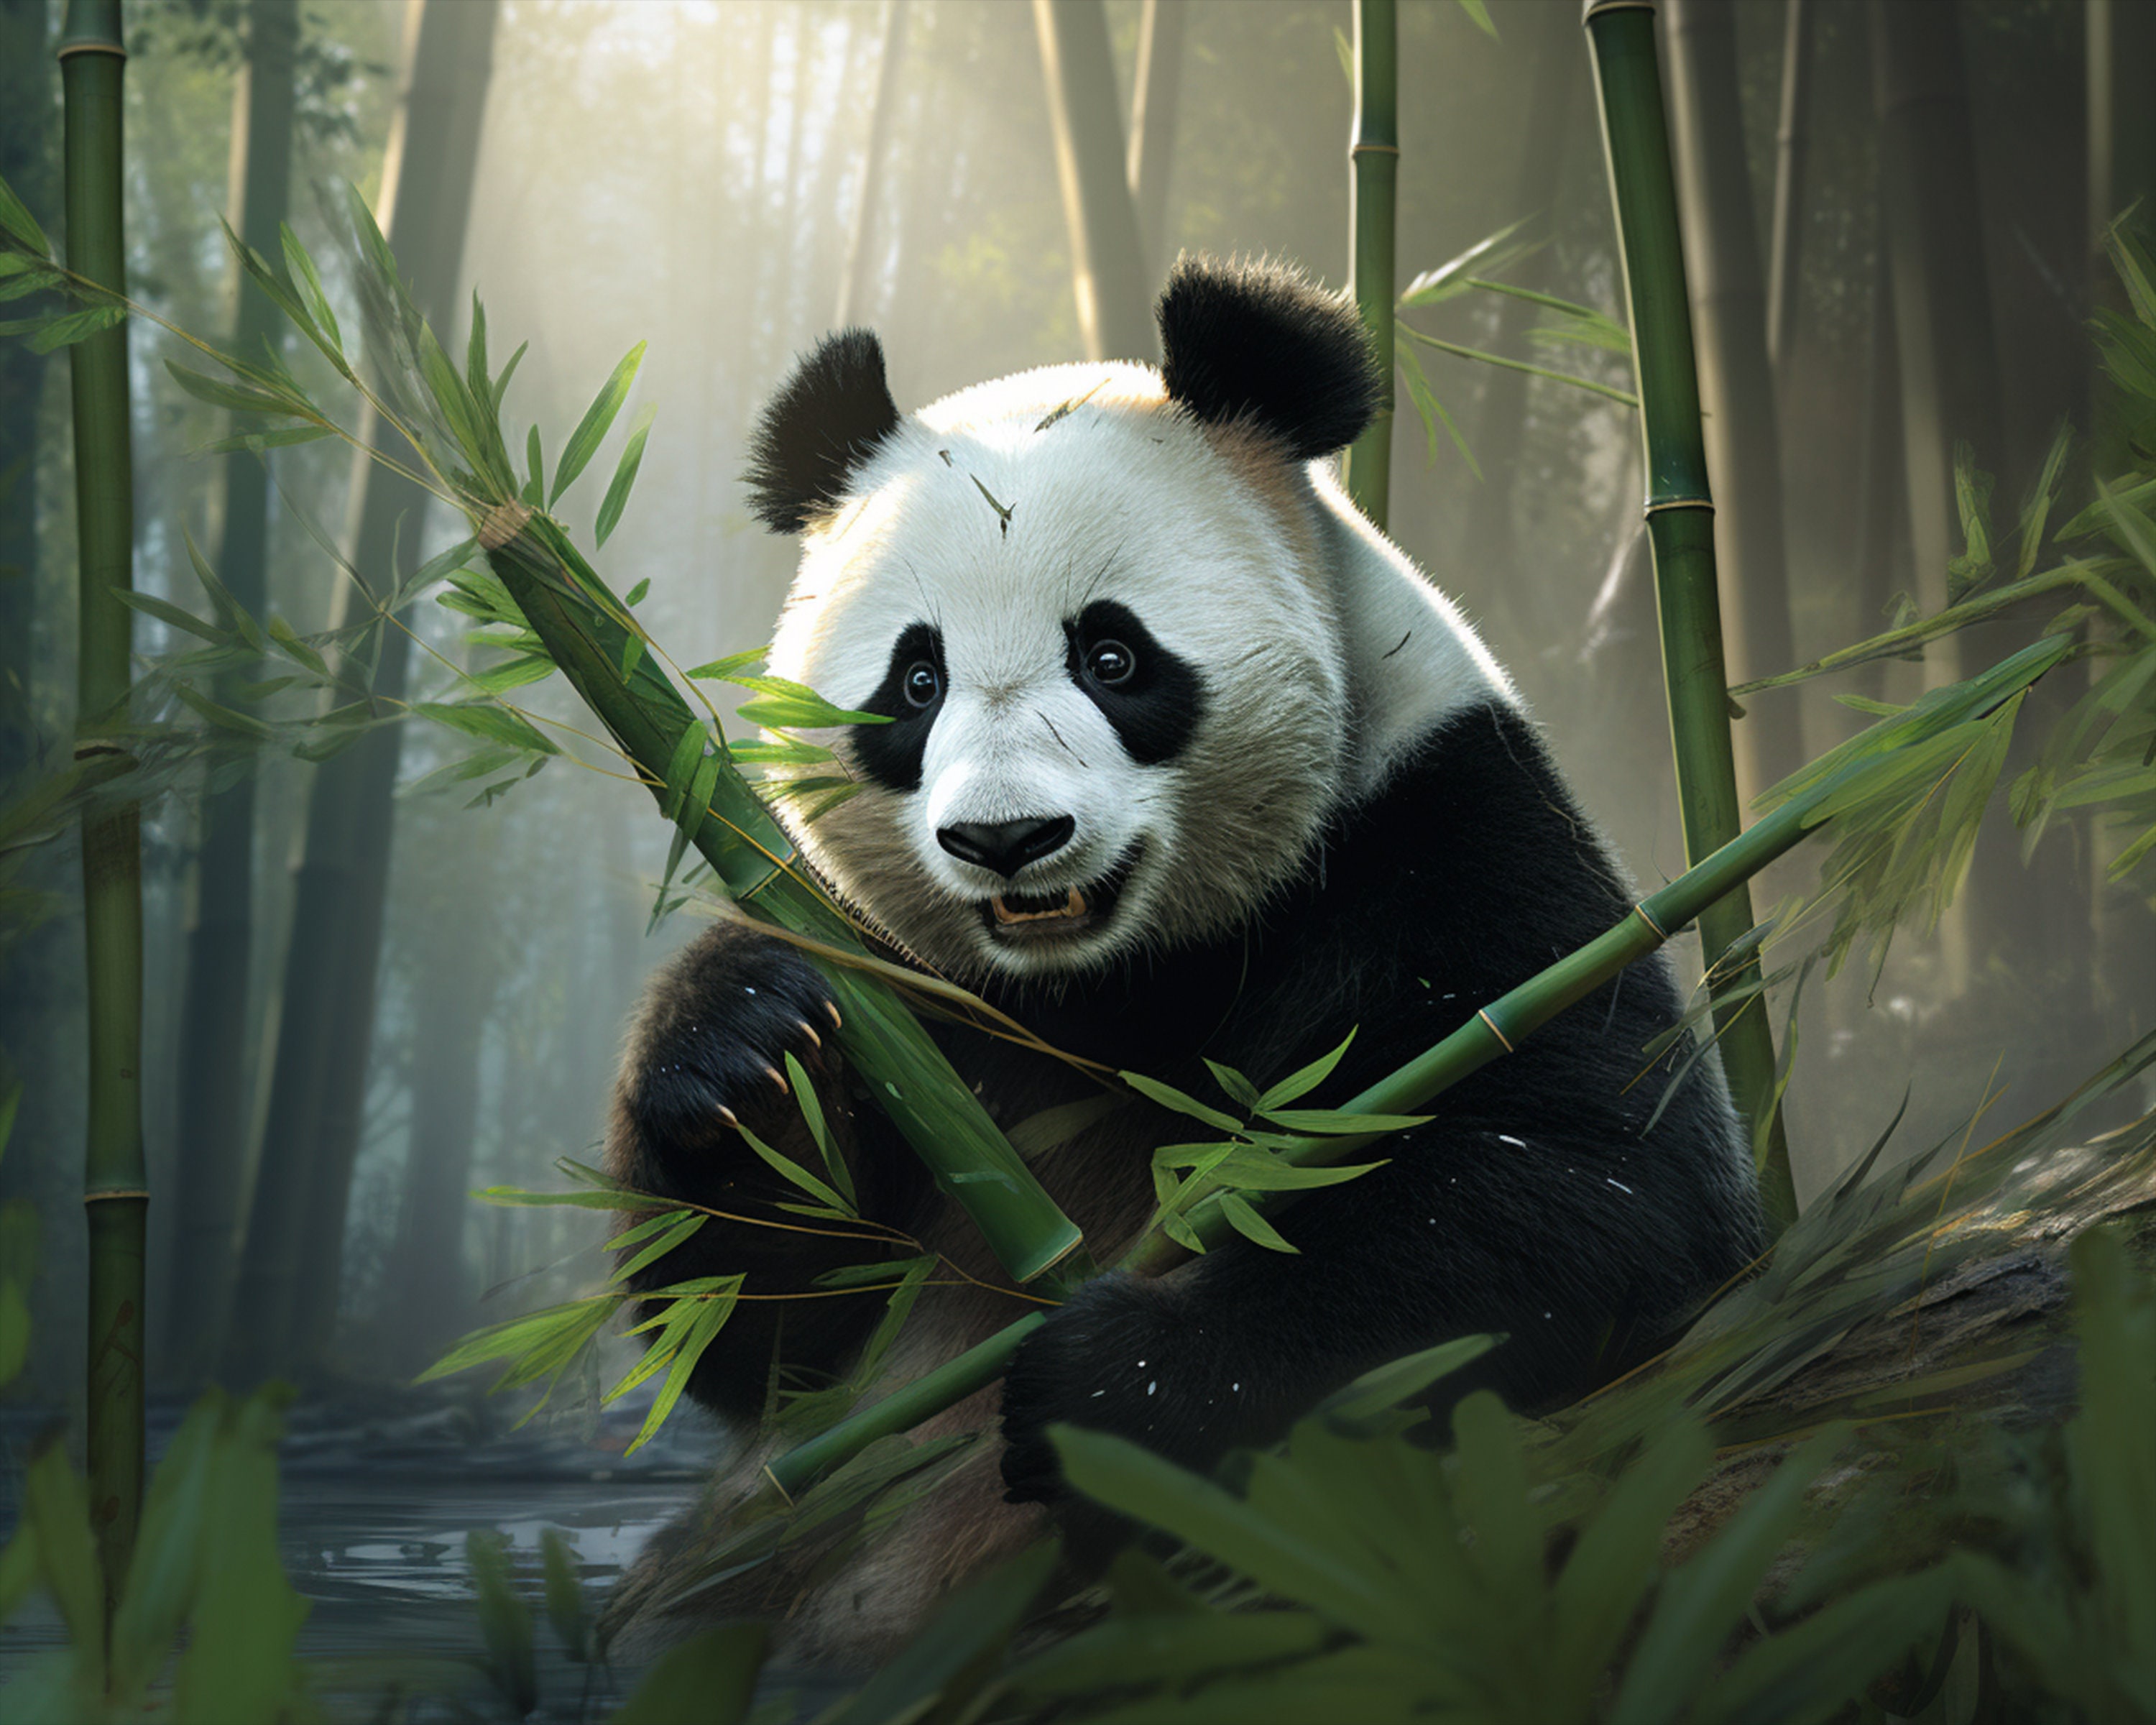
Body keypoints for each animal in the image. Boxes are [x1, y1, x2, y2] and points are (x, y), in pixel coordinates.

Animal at [599, 257, 1762, 1667]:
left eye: (1112, 655)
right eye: (915, 683)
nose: (1008, 840)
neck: (1105, 980)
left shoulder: (1443, 834)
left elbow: (1599, 1183)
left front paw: (1113, 1377)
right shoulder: (888, 969)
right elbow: (777, 1335)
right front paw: (750, 1050)